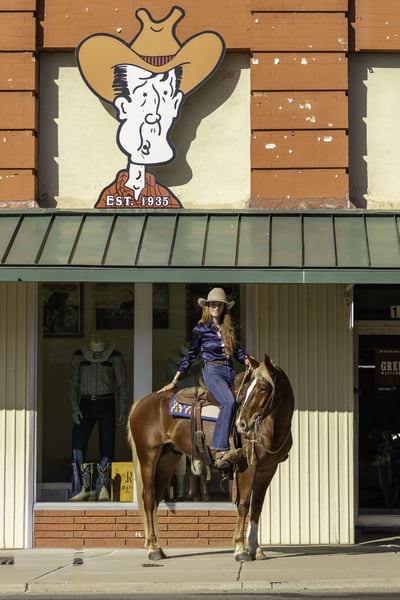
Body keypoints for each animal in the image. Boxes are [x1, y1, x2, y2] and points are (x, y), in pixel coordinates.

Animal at [127, 353, 294, 562]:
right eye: (248, 389)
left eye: (263, 388)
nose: (241, 424)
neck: (268, 427)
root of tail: (140, 403)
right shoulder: (247, 467)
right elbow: (244, 504)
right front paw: (240, 549)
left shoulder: (267, 469)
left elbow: (256, 506)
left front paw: (256, 549)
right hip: (148, 455)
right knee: (148, 498)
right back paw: (152, 549)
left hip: (166, 460)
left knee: (156, 499)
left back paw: (158, 547)